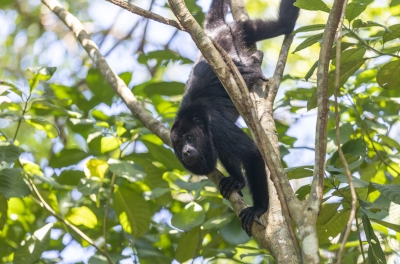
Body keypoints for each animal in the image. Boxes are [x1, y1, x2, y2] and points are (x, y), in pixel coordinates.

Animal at [170, 0, 298, 235]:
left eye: (190, 138)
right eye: (179, 142)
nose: (186, 151)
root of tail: (215, 31)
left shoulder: (216, 126)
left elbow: (252, 153)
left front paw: (259, 209)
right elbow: (226, 154)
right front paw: (237, 180)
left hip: (239, 30)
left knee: (283, 24)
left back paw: (255, 61)